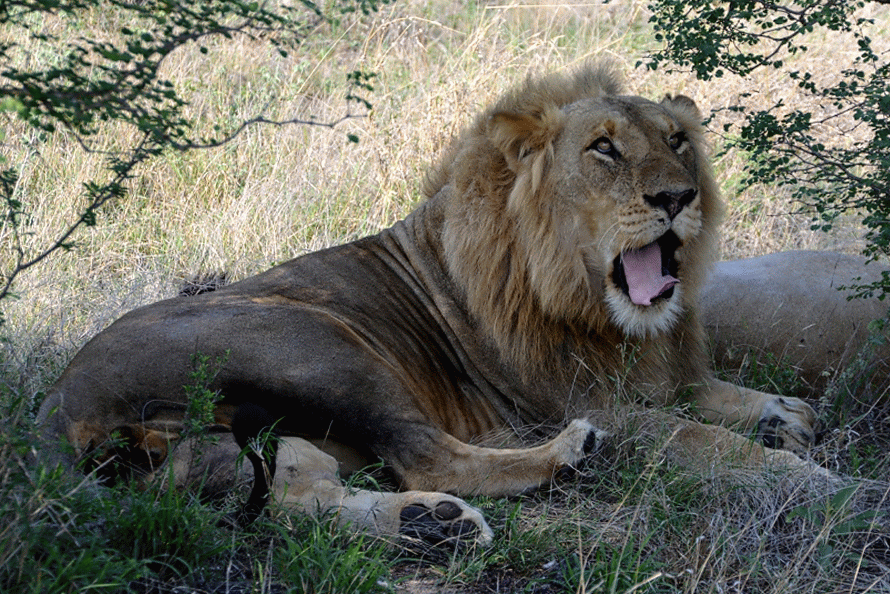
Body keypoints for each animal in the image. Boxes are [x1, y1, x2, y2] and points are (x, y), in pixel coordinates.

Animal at [38, 62, 816, 544]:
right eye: (604, 149)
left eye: (678, 141)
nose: (677, 197)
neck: (607, 313)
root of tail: (58, 402)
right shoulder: (582, 401)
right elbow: (701, 438)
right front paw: (810, 478)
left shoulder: (666, 372)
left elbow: (717, 395)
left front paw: (785, 416)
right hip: (325, 346)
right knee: (430, 458)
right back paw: (566, 456)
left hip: (251, 436)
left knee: (304, 497)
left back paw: (434, 528)